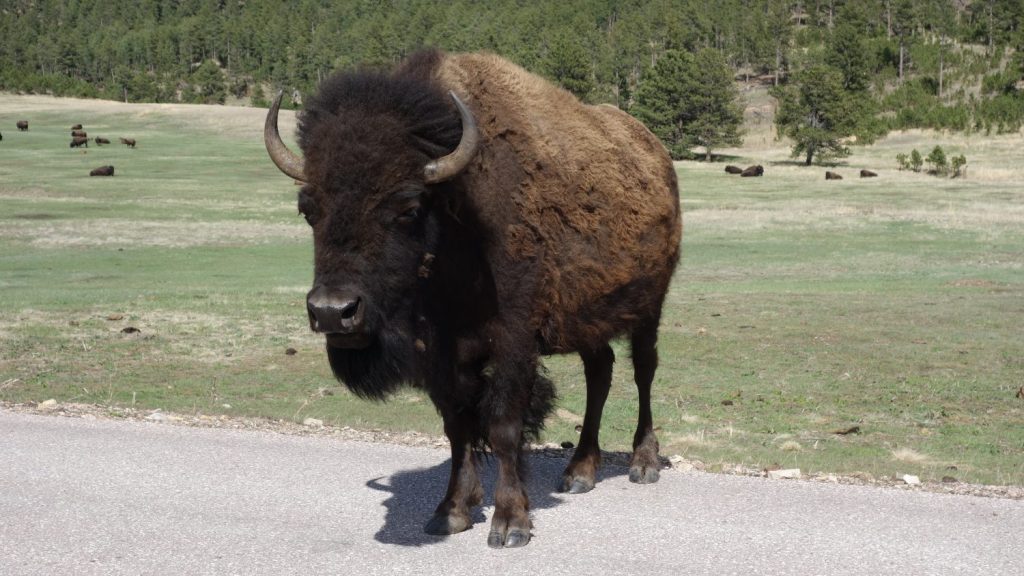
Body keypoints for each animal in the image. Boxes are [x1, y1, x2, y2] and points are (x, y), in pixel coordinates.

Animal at [264, 50, 681, 548]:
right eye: (308, 209)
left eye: (407, 207)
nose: (333, 312)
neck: (459, 216)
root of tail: (657, 157)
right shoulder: (442, 356)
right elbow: (457, 428)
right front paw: (451, 512)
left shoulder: (513, 343)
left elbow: (502, 427)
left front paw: (510, 524)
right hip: (587, 321)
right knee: (599, 375)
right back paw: (579, 472)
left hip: (649, 307)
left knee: (643, 372)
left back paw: (643, 463)